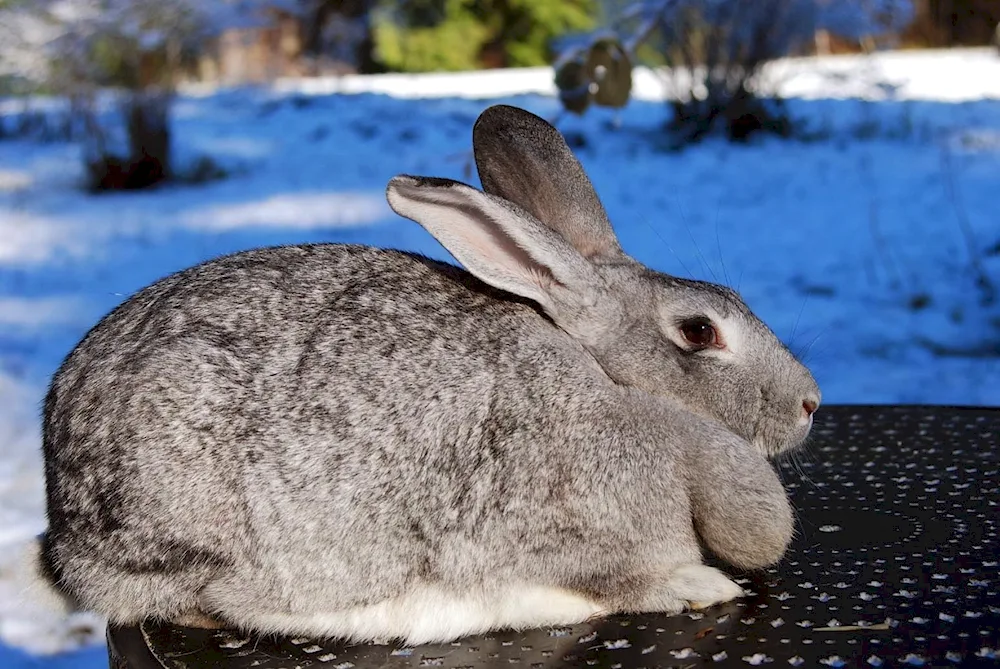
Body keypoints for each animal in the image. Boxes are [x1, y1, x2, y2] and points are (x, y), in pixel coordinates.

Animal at [37, 105, 820, 648]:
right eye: (699, 331)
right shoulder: (568, 529)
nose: (811, 402)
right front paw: (701, 583)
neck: (609, 378)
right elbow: (622, 578)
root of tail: (64, 524)